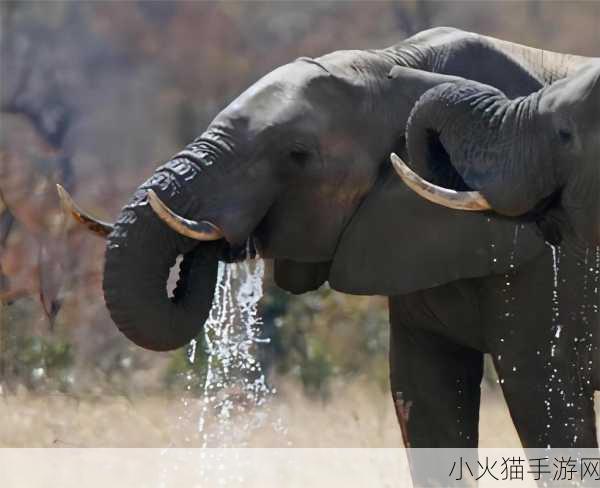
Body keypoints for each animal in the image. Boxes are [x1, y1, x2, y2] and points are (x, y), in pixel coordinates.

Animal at [58, 26, 596, 452]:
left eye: (296, 155)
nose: (222, 241)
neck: (388, 57)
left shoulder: (544, 269)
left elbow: (542, 394)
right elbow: (425, 396)